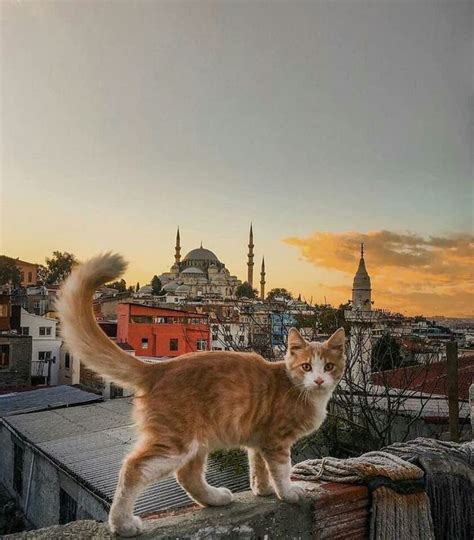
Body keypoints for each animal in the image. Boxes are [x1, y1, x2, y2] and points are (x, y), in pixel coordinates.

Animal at [57, 255, 344, 536]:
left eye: (329, 367)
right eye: (306, 367)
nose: (319, 380)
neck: (299, 388)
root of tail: (159, 368)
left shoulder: (259, 438)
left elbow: (258, 466)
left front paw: (262, 489)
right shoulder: (276, 440)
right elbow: (281, 470)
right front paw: (288, 492)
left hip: (199, 438)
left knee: (188, 475)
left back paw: (215, 498)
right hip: (176, 441)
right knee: (134, 468)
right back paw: (122, 524)